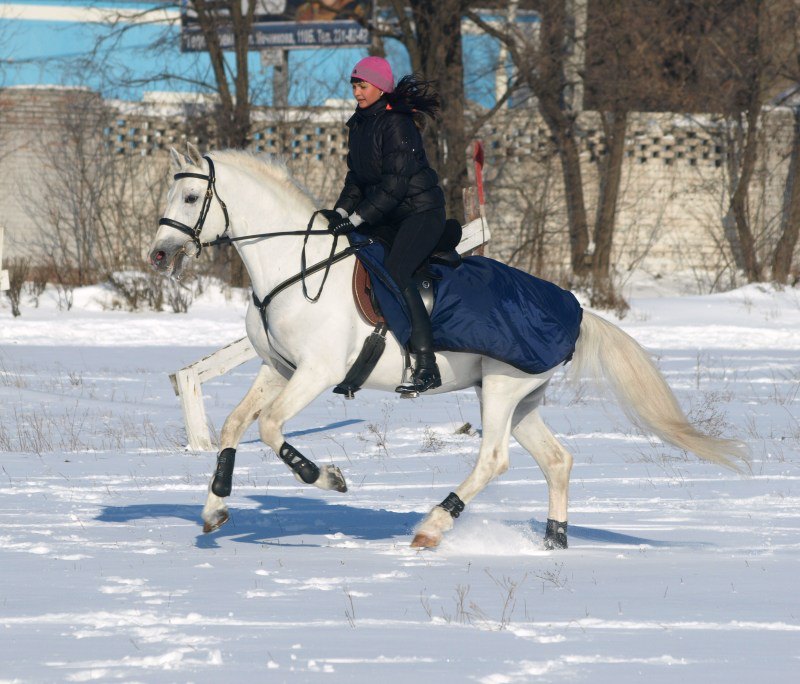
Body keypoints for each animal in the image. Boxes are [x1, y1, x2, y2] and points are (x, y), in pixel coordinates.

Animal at [147, 147, 748, 548]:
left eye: (192, 196)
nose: (157, 255)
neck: (295, 267)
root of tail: (575, 312)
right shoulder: (279, 368)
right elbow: (235, 424)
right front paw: (213, 510)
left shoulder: (316, 373)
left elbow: (271, 427)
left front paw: (329, 478)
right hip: (521, 399)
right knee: (557, 460)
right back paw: (553, 540)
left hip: (502, 389)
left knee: (494, 460)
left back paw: (432, 528)